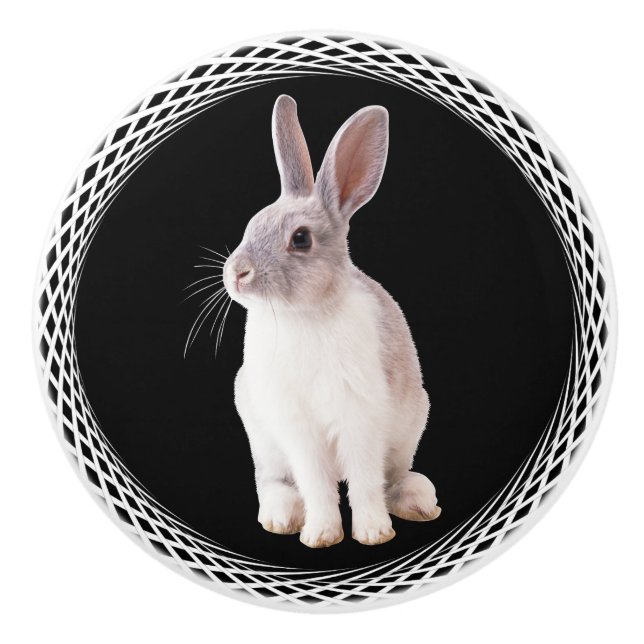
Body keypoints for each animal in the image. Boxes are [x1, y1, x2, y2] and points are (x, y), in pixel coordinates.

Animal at [222, 94, 441, 548]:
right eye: (252, 224)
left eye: (301, 239)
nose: (236, 273)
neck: (303, 315)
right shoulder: (297, 428)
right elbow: (316, 482)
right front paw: (321, 534)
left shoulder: (361, 416)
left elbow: (364, 480)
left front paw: (374, 533)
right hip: (263, 438)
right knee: (273, 481)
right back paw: (282, 516)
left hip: (409, 426)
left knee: (391, 477)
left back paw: (418, 501)